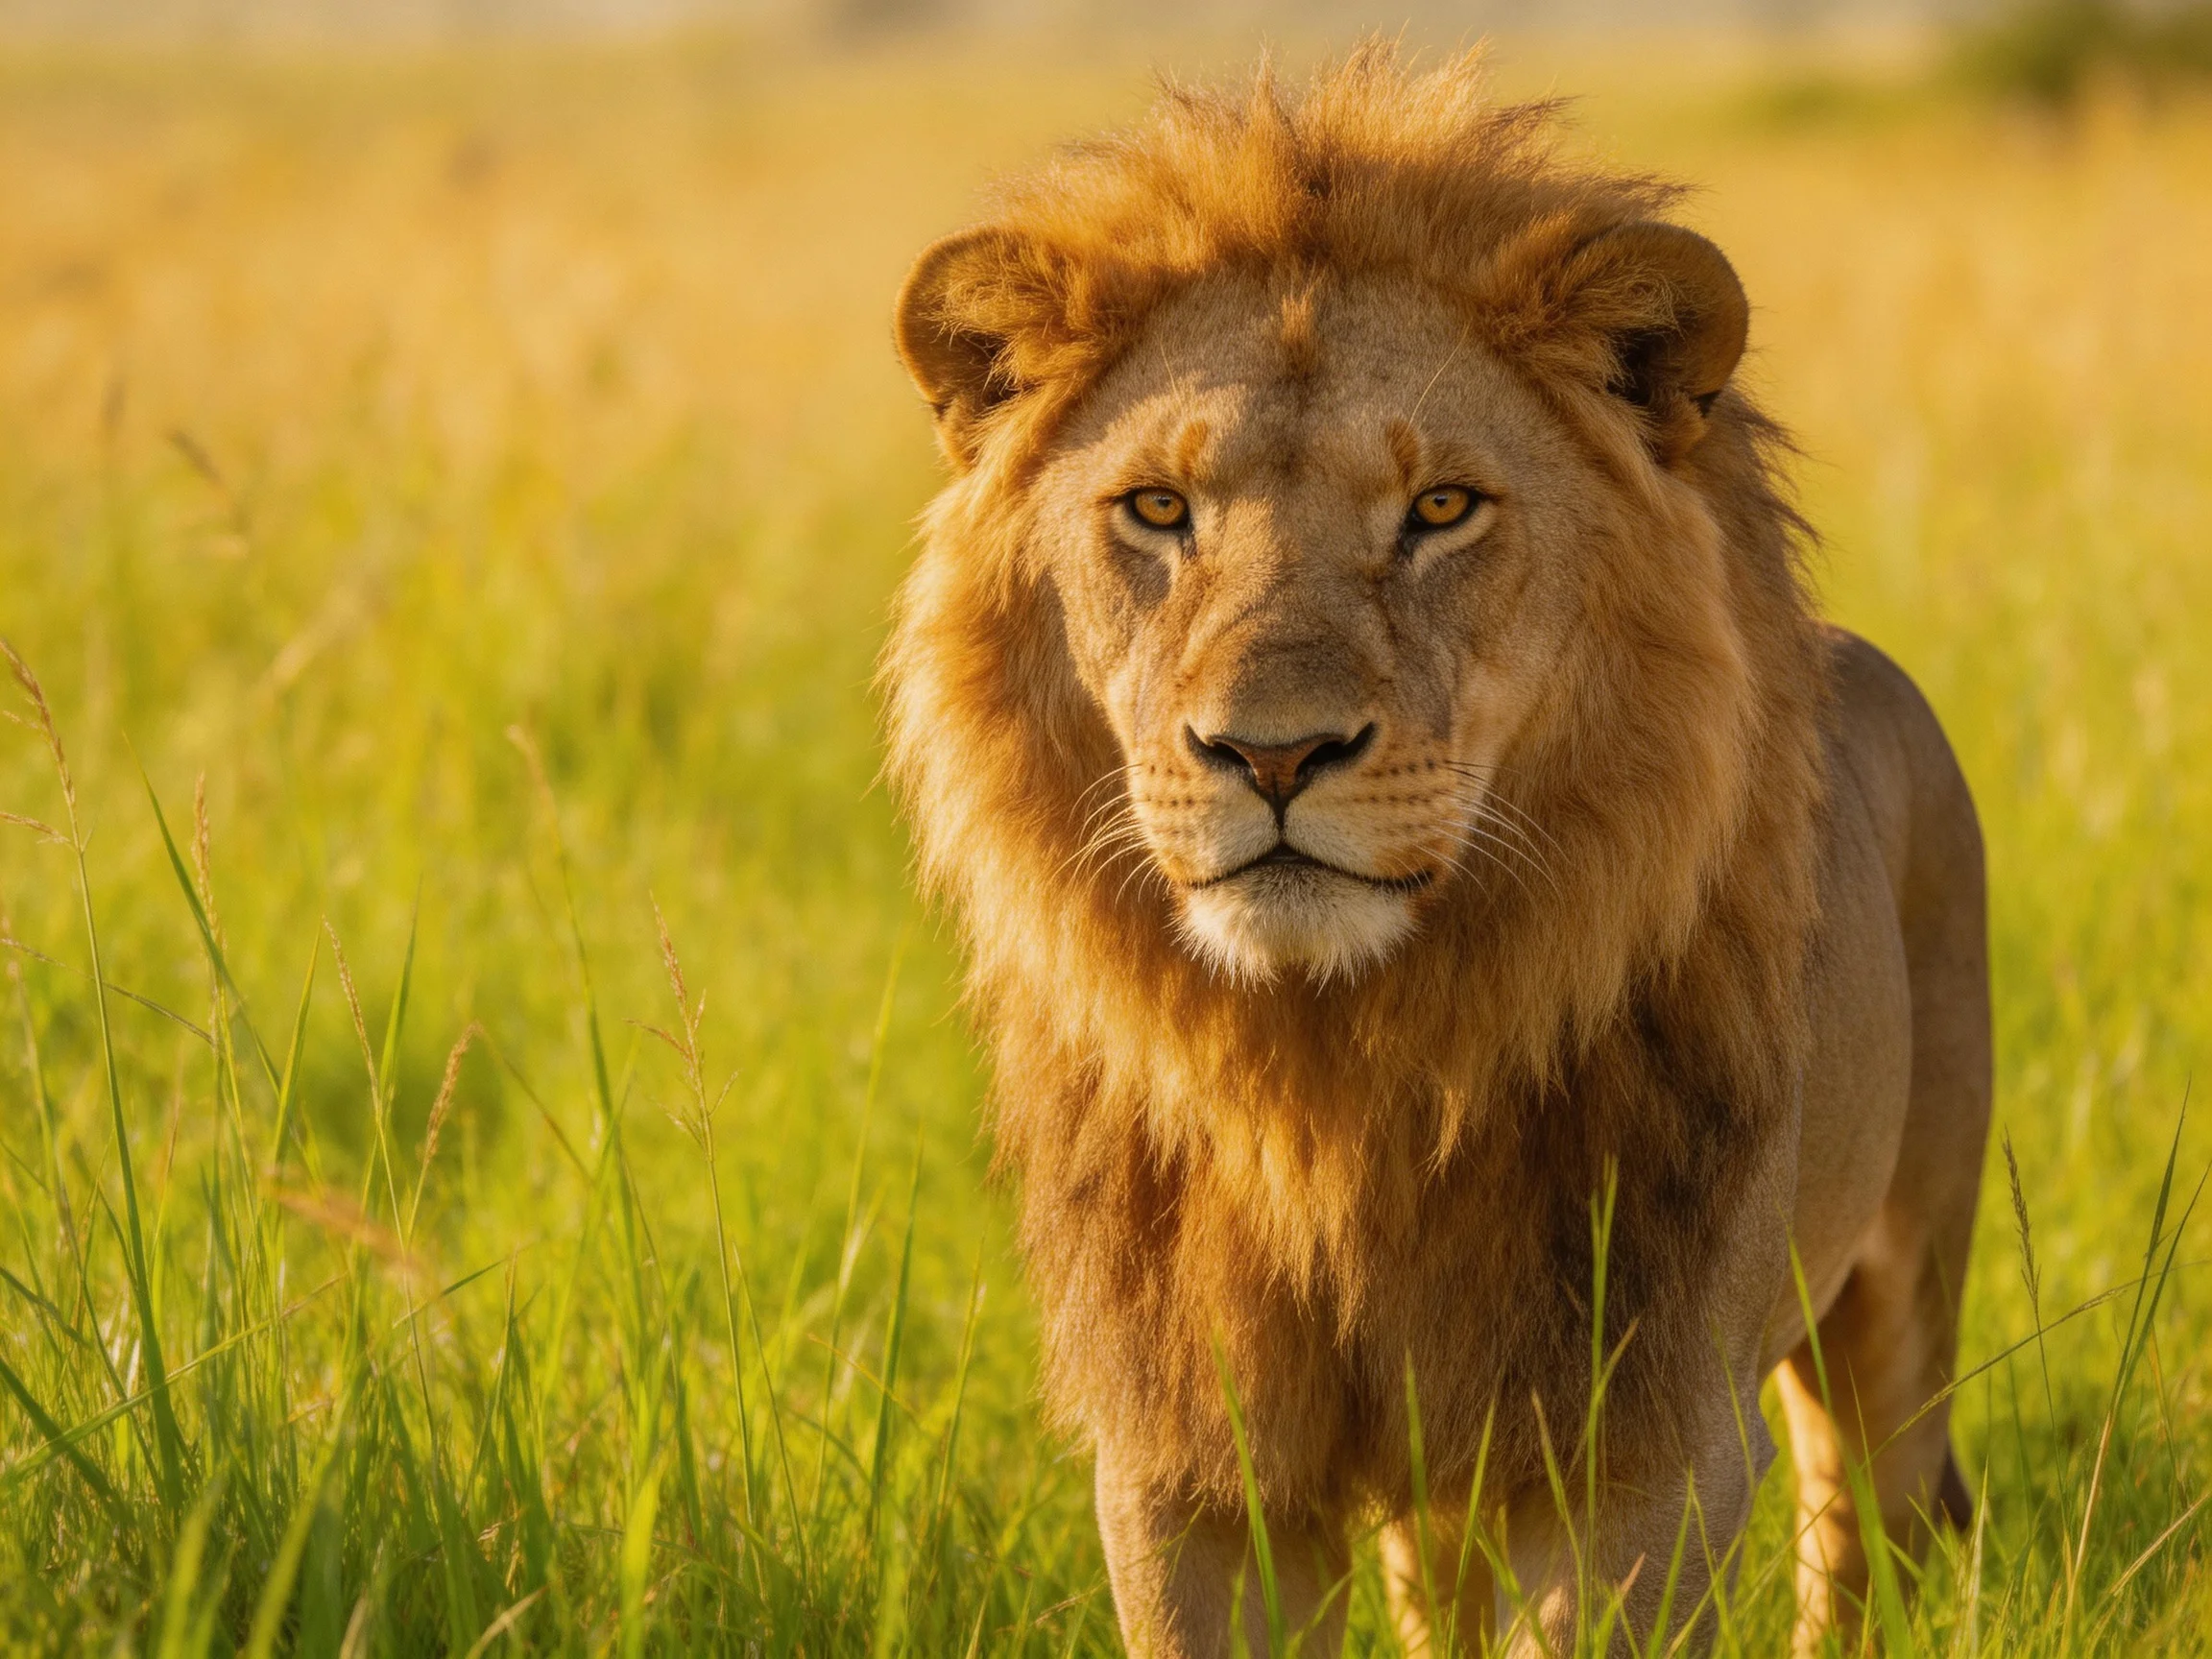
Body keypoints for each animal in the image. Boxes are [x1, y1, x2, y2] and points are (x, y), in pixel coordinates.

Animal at [882, 47, 1990, 1658]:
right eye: (1157, 509)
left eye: (1442, 508)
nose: (1273, 755)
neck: (1339, 1078)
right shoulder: (1189, 1463)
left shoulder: (1643, 1447)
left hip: (1900, 1293)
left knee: (1869, 1523)